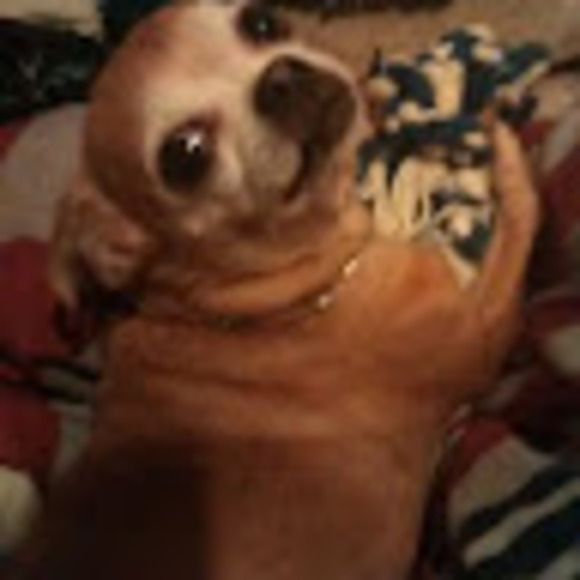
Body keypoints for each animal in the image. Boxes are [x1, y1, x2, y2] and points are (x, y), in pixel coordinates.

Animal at [12, 2, 538, 579]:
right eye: (185, 155)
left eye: (261, 22)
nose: (280, 77)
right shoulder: (485, 328)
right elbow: (523, 211)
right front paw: (502, 141)